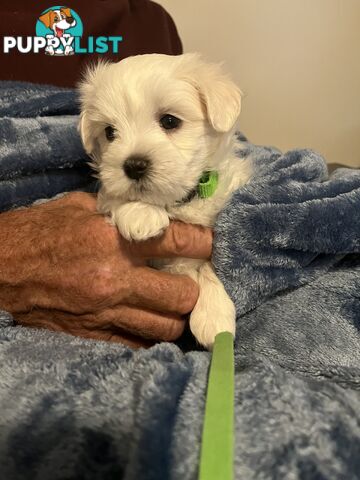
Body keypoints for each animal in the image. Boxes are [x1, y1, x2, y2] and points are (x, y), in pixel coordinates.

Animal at [78, 53, 253, 348]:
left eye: (170, 121)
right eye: (110, 132)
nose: (134, 165)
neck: (179, 202)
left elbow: (208, 264)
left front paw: (215, 316)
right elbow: (115, 197)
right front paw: (141, 213)